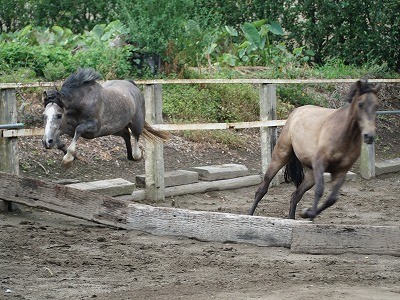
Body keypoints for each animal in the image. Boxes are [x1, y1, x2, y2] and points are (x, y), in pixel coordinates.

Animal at [250, 79, 382, 220]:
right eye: (360, 104)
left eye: (376, 106)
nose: (369, 136)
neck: (344, 134)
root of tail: (296, 112)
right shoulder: (320, 163)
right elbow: (319, 191)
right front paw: (308, 213)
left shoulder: (341, 171)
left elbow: (331, 199)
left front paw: (307, 213)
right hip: (281, 156)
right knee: (262, 188)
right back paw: (250, 214)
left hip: (310, 175)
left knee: (295, 195)